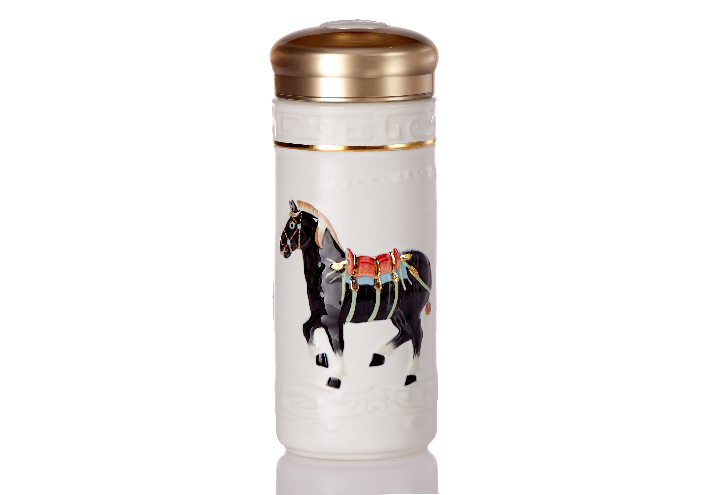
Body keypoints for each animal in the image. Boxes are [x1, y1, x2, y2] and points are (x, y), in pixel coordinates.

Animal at [279, 200, 432, 389]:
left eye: (292, 224)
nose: (282, 248)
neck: (328, 270)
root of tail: (420, 259)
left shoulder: (332, 320)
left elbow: (337, 345)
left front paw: (336, 377)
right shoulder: (319, 315)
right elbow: (306, 328)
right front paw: (320, 356)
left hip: (411, 313)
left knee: (417, 335)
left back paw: (410, 374)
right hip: (397, 314)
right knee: (406, 333)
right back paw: (379, 355)